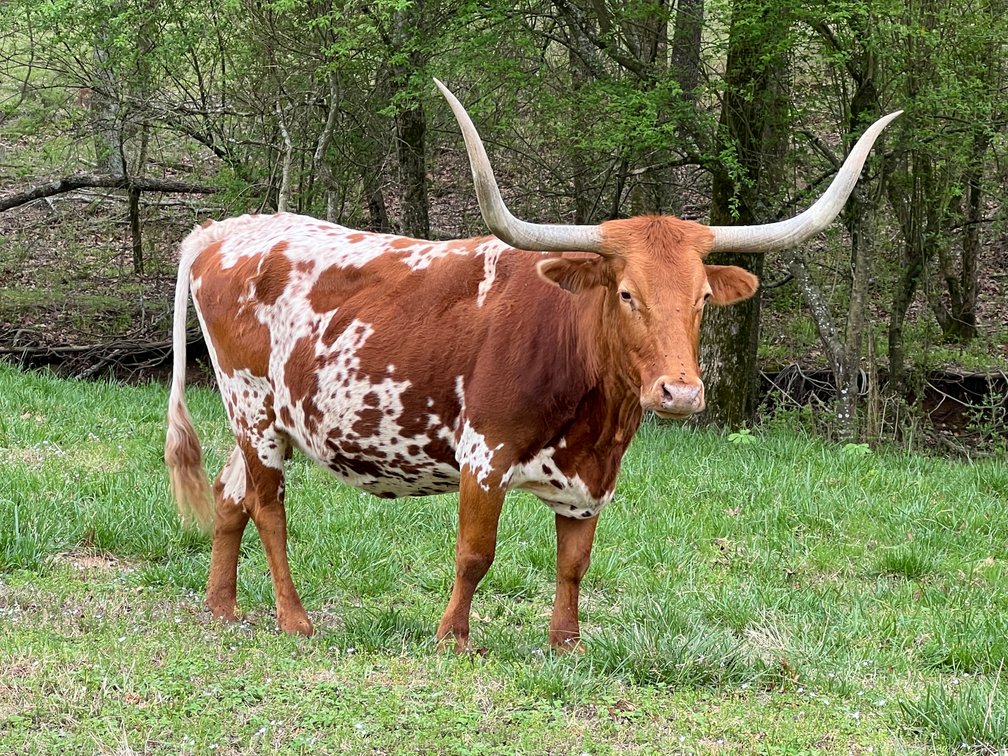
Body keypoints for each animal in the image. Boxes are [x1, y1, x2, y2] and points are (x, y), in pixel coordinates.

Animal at [165, 79, 899, 651]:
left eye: (701, 300)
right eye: (625, 293)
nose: (681, 393)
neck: (597, 415)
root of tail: (220, 230)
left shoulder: (593, 479)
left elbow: (574, 563)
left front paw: (566, 642)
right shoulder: (484, 454)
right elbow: (475, 553)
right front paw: (452, 638)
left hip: (264, 418)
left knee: (229, 496)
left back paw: (222, 607)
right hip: (254, 408)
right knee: (267, 506)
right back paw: (294, 619)